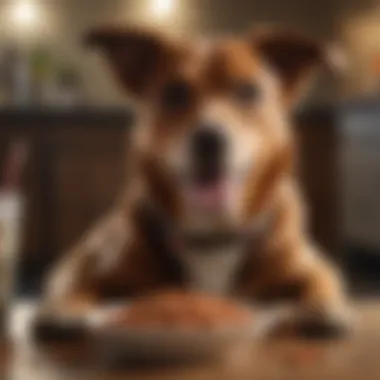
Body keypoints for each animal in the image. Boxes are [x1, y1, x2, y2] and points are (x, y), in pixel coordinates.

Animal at [36, 24, 350, 338]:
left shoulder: (311, 265)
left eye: (248, 91)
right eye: (174, 92)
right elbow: (74, 284)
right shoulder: (82, 264)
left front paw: (322, 309)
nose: (210, 140)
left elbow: (322, 282)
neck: (211, 234)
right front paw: (62, 309)